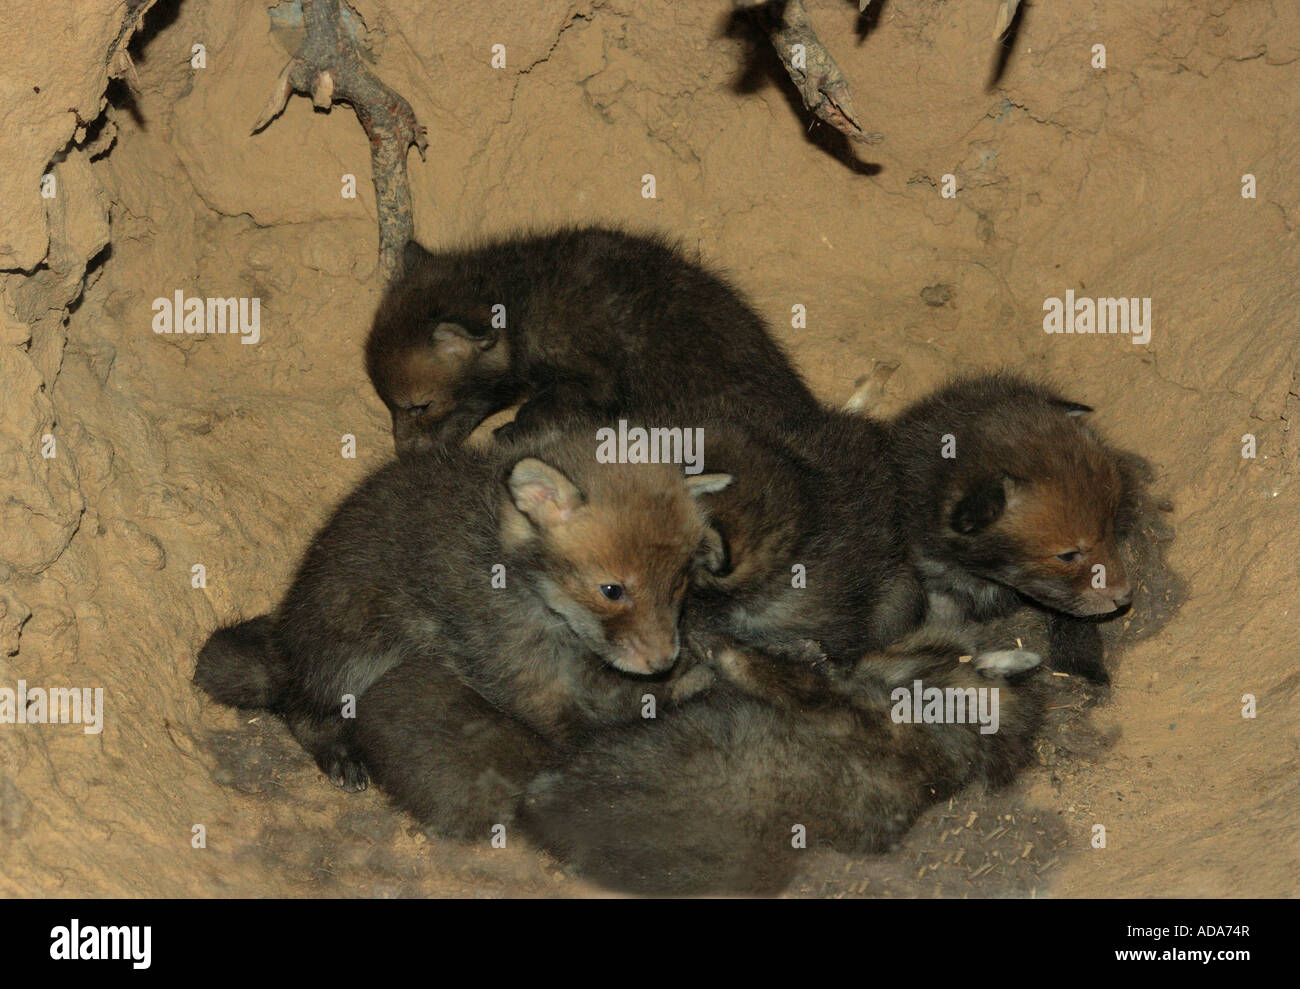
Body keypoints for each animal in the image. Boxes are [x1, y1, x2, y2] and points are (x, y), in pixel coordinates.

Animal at [193, 428, 731, 792]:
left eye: (679, 583)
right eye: (612, 590)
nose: (662, 660)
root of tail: (284, 642)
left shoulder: (577, 660)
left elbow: (621, 694)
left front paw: (684, 680)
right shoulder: (507, 662)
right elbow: (572, 726)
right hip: (351, 656)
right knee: (298, 707)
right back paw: (336, 751)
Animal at [365, 226, 820, 455]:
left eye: (421, 406)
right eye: (388, 406)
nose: (404, 453)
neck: (520, 302)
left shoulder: (592, 376)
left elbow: (540, 409)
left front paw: (513, 433)